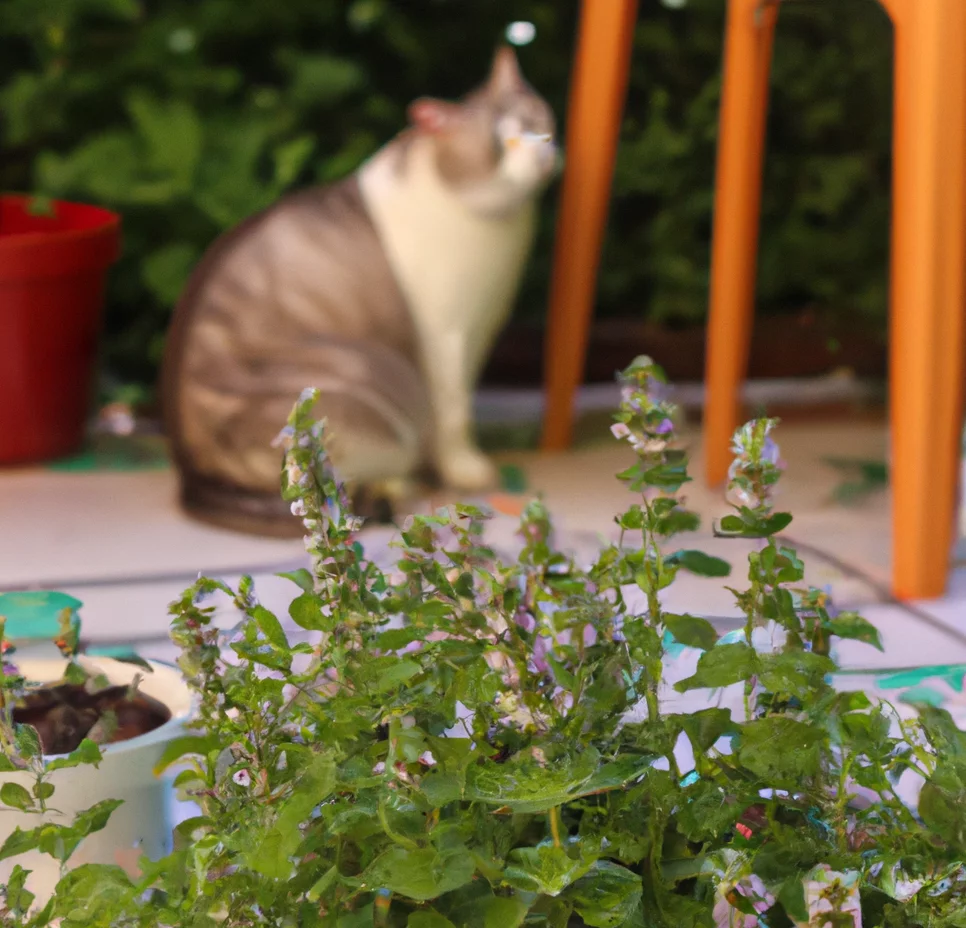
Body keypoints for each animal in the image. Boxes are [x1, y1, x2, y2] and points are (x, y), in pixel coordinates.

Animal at [162, 45, 556, 536]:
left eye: (538, 122)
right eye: (502, 144)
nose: (542, 155)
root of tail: (190, 472)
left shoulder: (481, 331)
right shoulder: (448, 339)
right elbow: (454, 413)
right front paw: (467, 470)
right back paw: (399, 487)